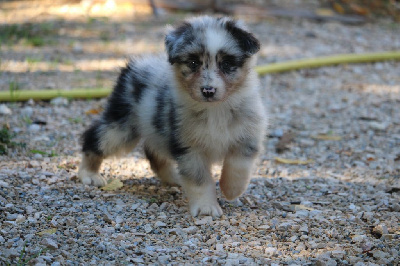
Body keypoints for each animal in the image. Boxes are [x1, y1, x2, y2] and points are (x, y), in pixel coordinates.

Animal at [78, 15, 268, 217]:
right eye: (193, 63)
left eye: (226, 64)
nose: (208, 91)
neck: (216, 110)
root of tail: (137, 65)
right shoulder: (189, 148)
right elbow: (199, 180)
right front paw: (206, 208)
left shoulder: (247, 137)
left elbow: (238, 167)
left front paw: (231, 190)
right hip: (122, 127)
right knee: (95, 138)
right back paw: (89, 174)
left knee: (153, 152)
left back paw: (174, 177)